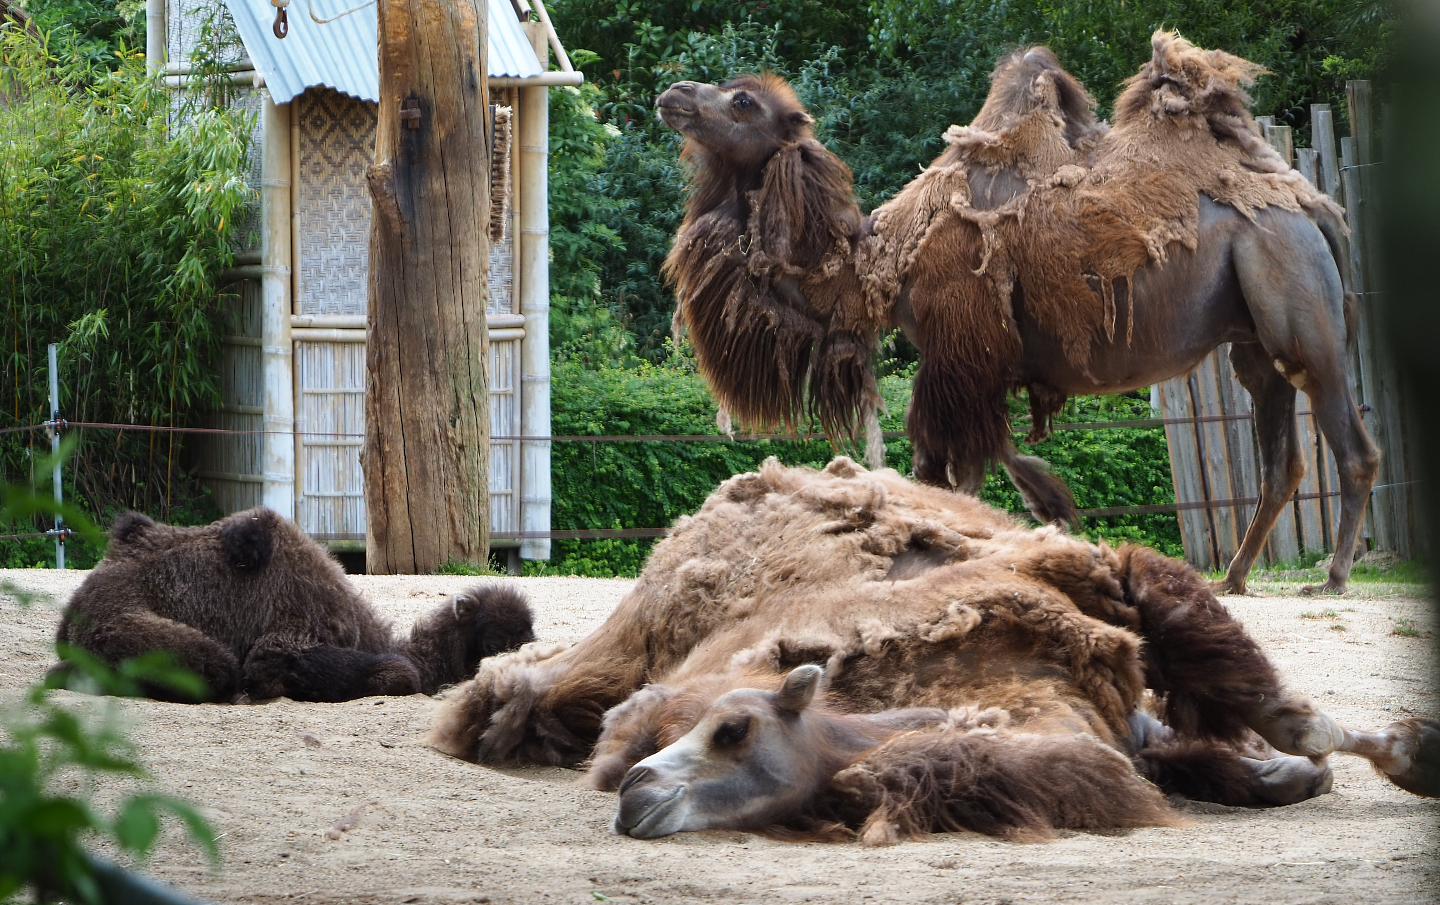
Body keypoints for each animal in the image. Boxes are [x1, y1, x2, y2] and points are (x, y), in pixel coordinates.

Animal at [51, 508, 536, 703]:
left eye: (530, 634)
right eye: (496, 639)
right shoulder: (291, 636)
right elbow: (401, 673)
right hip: (139, 633)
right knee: (216, 667)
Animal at [655, 33, 1378, 595]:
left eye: (743, 102)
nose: (674, 94)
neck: (878, 262)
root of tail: (1315, 207)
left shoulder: (960, 349)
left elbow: (955, 466)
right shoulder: (969, 359)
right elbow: (962, 457)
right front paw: (1045, 510)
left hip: (1298, 301)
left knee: (1350, 443)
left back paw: (1332, 576)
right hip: (1251, 338)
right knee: (1281, 456)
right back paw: (1232, 577)